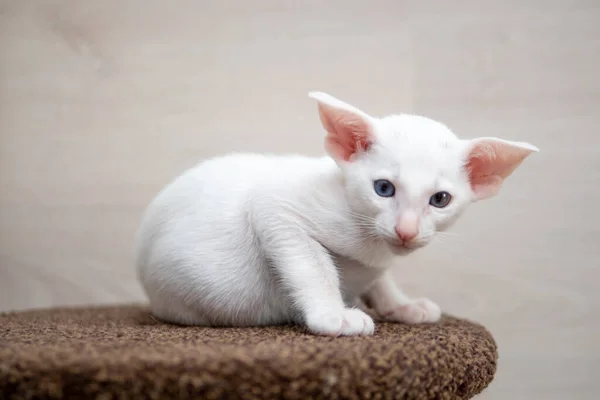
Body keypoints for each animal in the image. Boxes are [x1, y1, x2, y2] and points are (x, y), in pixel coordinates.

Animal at [136, 92, 540, 336]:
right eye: (383, 188)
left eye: (440, 199)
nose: (406, 230)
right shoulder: (275, 208)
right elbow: (314, 267)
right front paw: (334, 314)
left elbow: (381, 279)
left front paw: (401, 305)